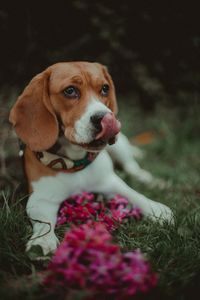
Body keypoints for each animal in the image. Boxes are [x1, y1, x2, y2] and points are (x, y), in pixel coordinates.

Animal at [8, 62, 173, 254]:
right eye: (70, 91)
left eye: (105, 89)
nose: (105, 117)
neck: (75, 162)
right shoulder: (40, 199)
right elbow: (44, 223)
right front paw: (42, 242)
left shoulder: (110, 182)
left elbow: (134, 194)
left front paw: (156, 209)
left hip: (120, 146)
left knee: (132, 167)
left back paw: (153, 180)